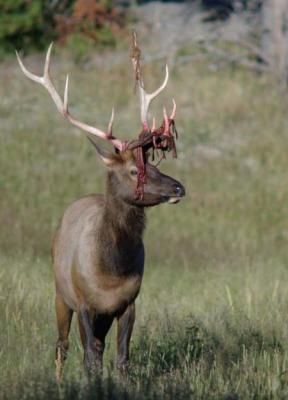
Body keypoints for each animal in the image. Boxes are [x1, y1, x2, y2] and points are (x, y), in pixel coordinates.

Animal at [16, 33, 184, 378]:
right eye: (134, 170)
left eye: (153, 163)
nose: (179, 187)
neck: (110, 271)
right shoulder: (83, 302)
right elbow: (89, 359)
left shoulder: (128, 302)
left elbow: (121, 359)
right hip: (59, 292)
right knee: (62, 345)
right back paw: (59, 379)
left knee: (97, 346)